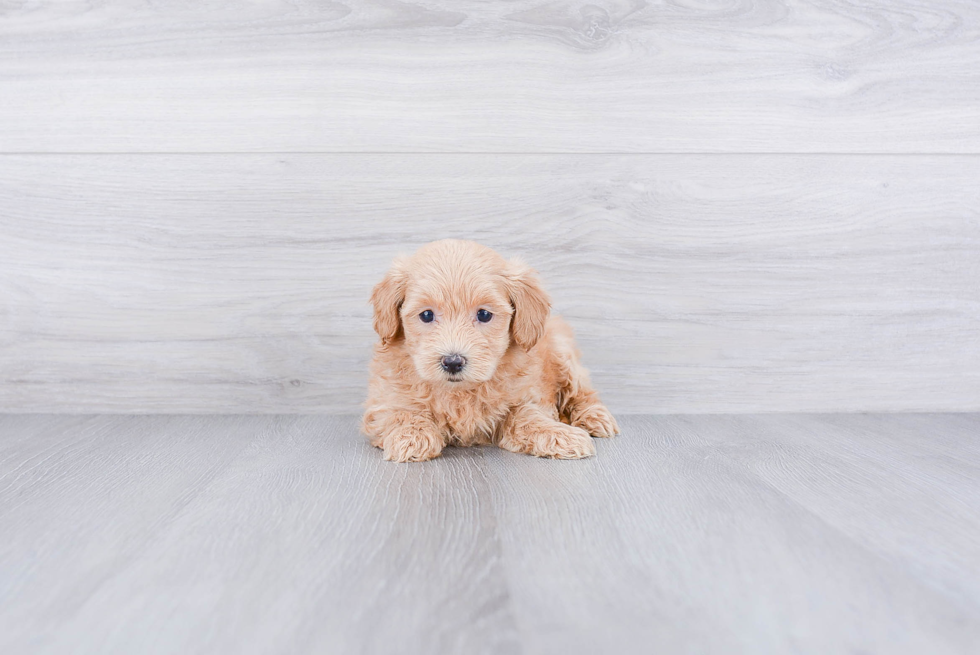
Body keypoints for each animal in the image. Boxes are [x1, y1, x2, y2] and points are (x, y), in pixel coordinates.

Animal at [360, 240, 620, 462]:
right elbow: (401, 412)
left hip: (563, 353)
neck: (459, 393)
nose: (452, 362)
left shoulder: (528, 396)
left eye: (484, 314)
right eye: (426, 315)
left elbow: (528, 415)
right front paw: (411, 437)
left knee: (582, 392)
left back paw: (595, 418)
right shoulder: (383, 402)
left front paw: (560, 435)